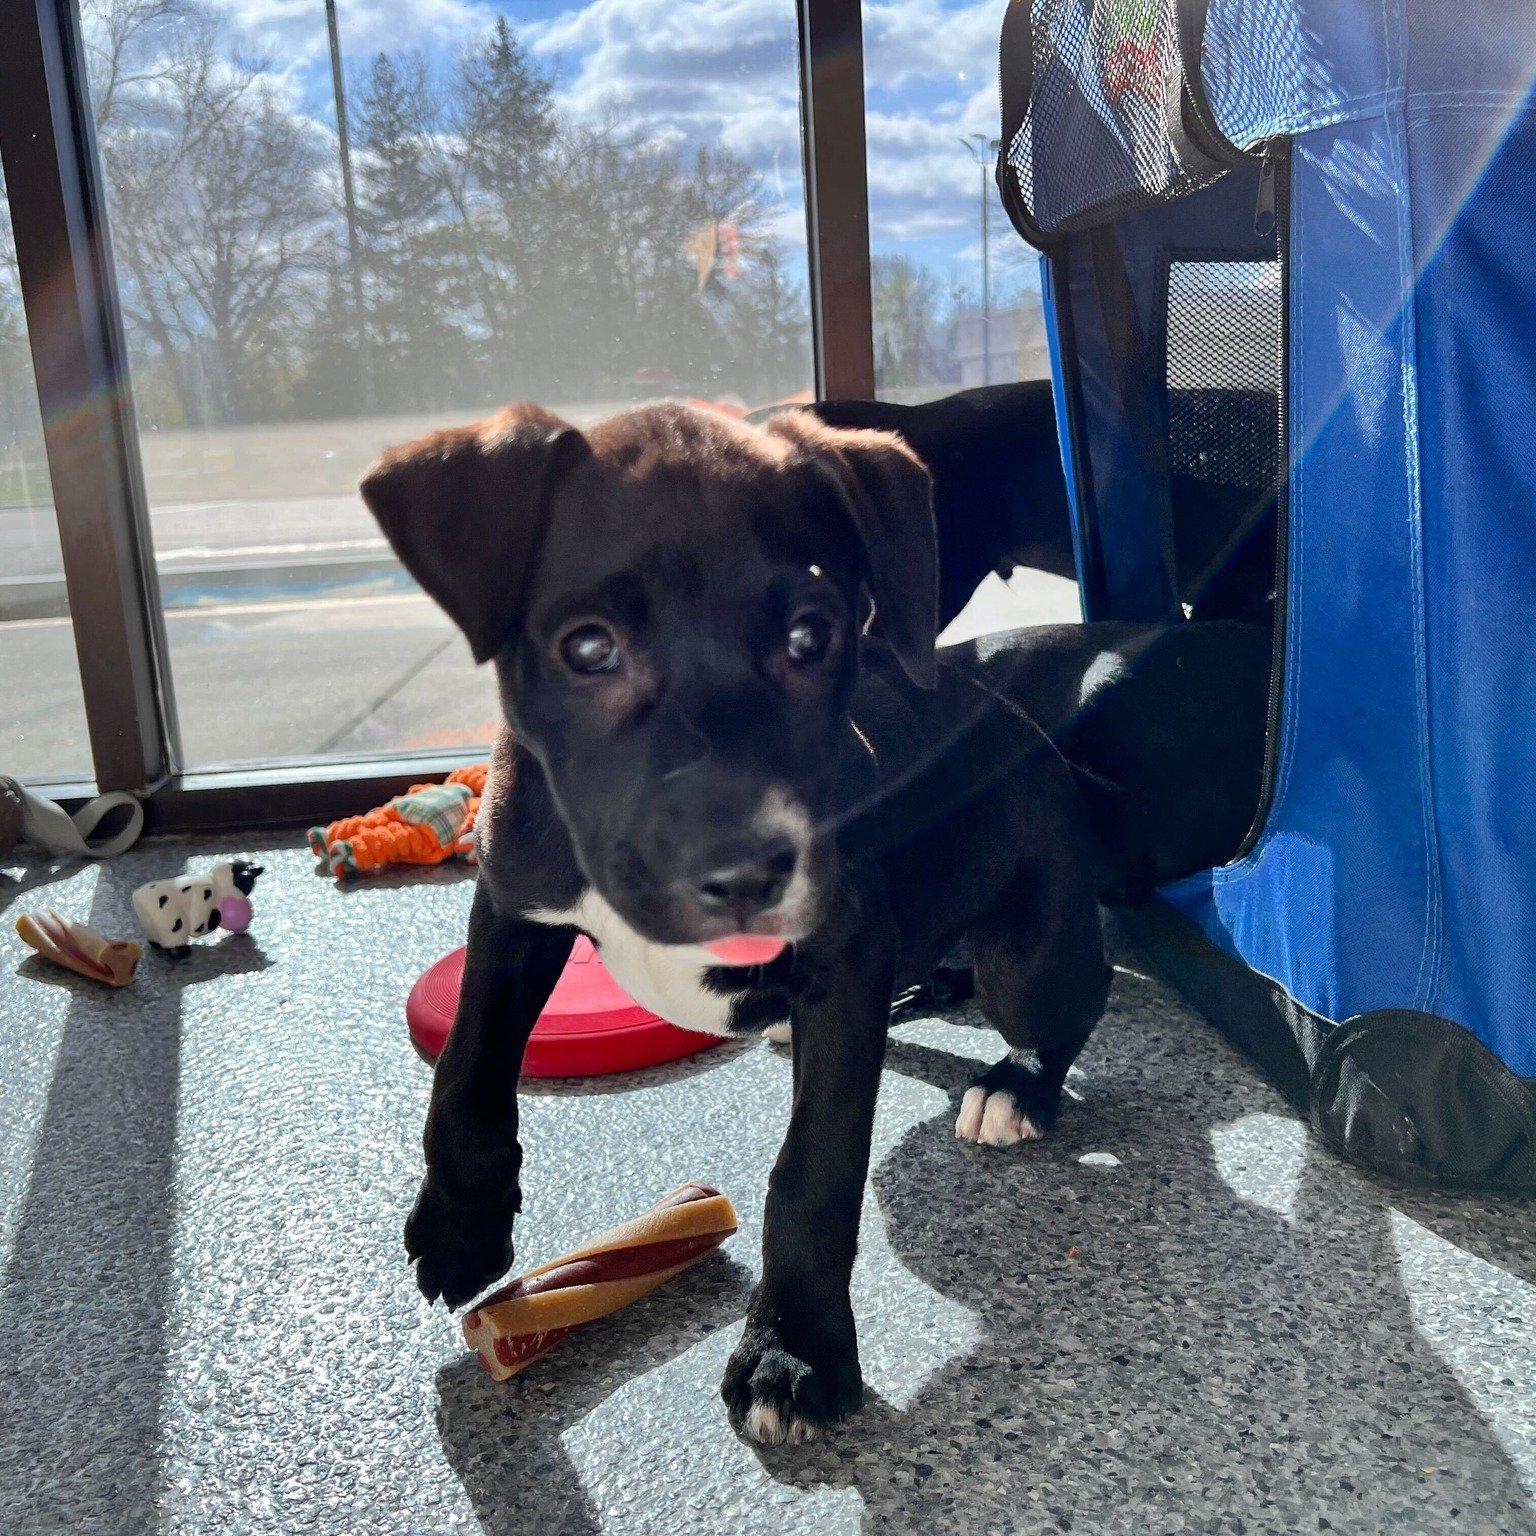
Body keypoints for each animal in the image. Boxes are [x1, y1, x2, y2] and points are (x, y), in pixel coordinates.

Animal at [362, 402, 1271, 1443]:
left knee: (1068, 999)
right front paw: (461, 1225)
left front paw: (794, 1350)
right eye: (587, 648)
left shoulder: (843, 964)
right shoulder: (514, 902)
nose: (745, 867)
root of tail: (1037, 738)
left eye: (811, 636)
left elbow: (814, 1171)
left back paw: (1016, 1085)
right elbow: (469, 1067)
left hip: (1030, 948)